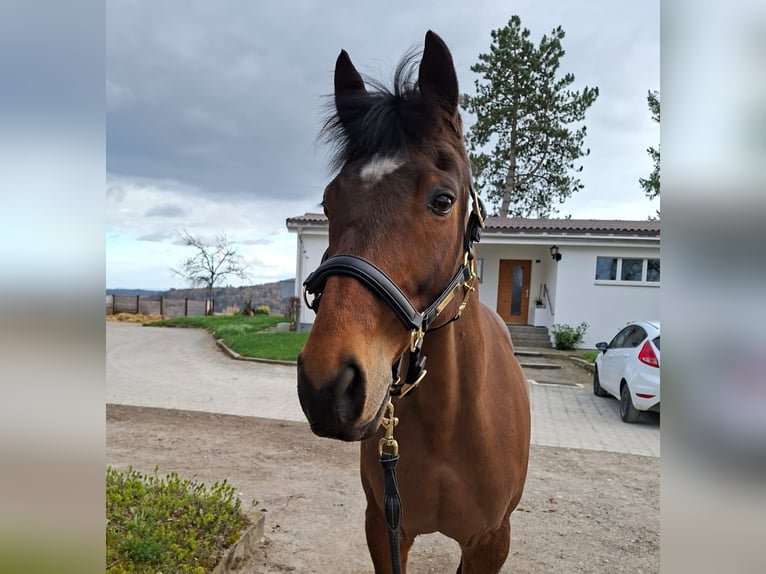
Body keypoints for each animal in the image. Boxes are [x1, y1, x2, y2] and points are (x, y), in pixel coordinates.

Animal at [297, 31, 530, 574]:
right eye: (328, 202)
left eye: (443, 200)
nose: (326, 385)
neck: (451, 420)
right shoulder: (385, 530)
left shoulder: (491, 541)